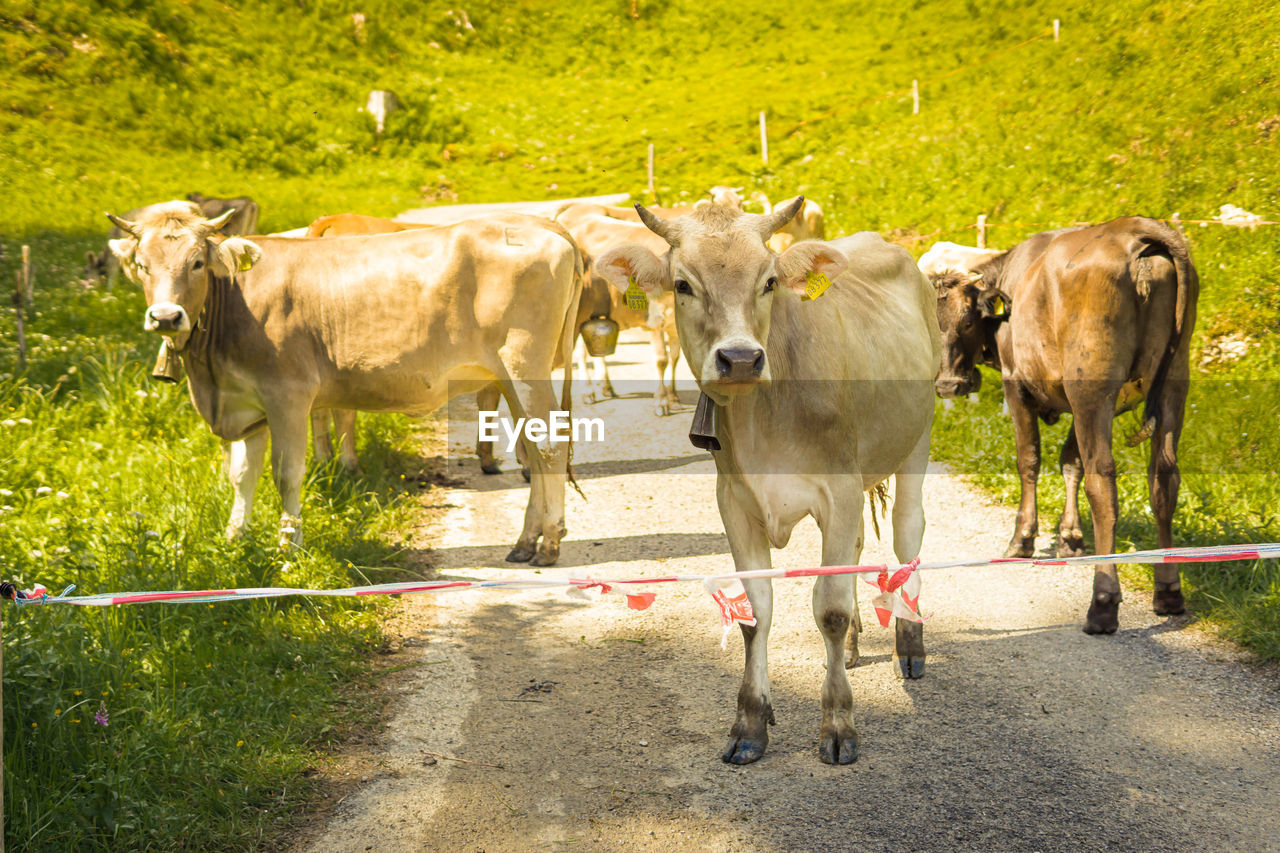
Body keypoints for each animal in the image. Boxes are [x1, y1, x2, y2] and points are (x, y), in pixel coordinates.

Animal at [107, 199, 583, 563]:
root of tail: (541, 223)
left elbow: (287, 473)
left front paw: (289, 549)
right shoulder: (246, 404)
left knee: (550, 446)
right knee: (535, 449)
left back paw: (549, 545)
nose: (165, 317)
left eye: (197, 262)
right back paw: (526, 542)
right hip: (510, 376)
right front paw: (234, 539)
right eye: (141, 265)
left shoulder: (288, 396)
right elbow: (242, 475)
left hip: (523, 366)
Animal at [596, 197, 942, 763]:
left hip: (918, 434)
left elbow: (830, 609)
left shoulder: (838, 491)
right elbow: (756, 611)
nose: (740, 359)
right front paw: (751, 722)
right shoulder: (734, 502)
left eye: (770, 281)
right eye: (683, 284)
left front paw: (838, 725)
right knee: (855, 551)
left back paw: (908, 644)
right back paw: (852, 649)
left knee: (907, 529)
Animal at [931, 217, 1198, 630]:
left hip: (1092, 388)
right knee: (1164, 477)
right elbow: (1070, 462)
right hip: (1172, 382)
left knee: (1102, 481)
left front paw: (1023, 538)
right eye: (934, 323)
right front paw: (1070, 538)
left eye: (970, 320)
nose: (947, 385)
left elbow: (1030, 460)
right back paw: (1168, 591)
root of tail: (1136, 229)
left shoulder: (1017, 385)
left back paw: (1103, 601)